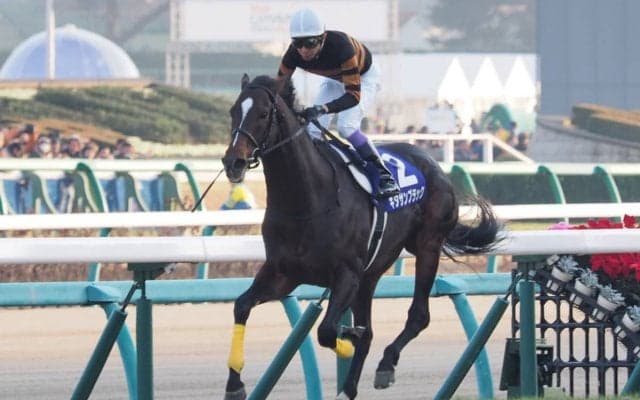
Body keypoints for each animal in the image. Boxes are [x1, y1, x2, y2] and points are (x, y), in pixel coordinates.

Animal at [221, 74, 502, 400]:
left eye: (264, 113)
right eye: (233, 111)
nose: (233, 162)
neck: (307, 200)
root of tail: (432, 163)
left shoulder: (346, 275)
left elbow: (327, 331)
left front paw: (348, 337)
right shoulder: (283, 274)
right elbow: (242, 306)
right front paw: (234, 385)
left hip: (427, 246)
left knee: (419, 315)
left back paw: (386, 364)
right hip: (370, 274)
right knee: (370, 327)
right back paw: (350, 385)